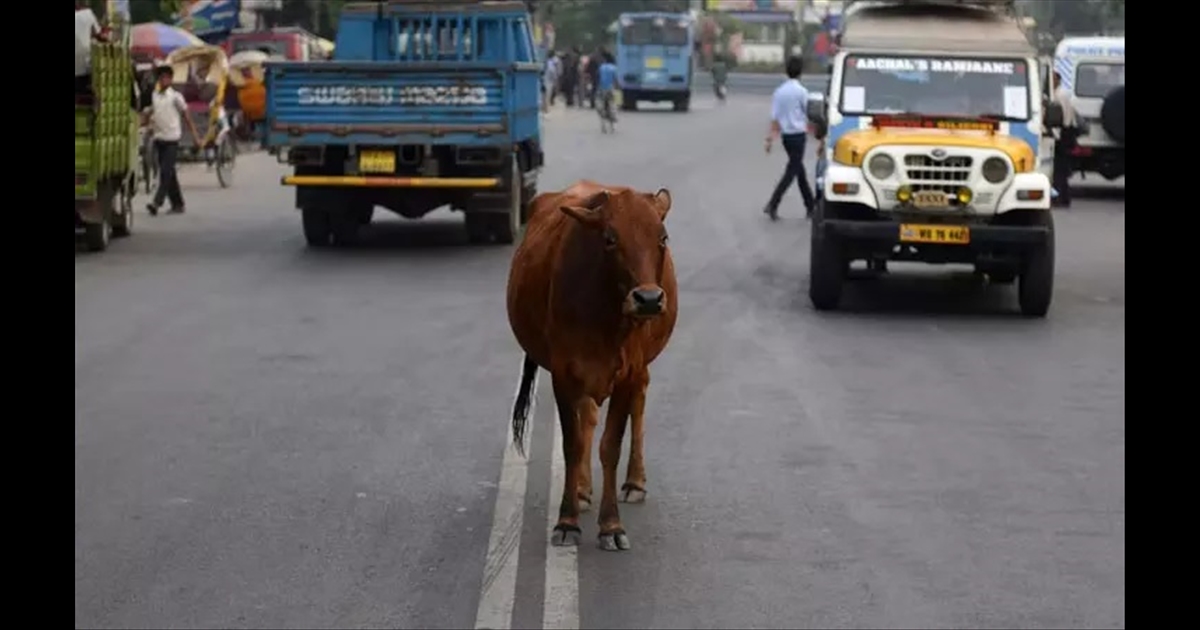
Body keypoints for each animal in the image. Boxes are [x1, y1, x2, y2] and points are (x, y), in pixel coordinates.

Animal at [504, 177, 676, 549]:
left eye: (662, 238)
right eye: (610, 239)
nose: (649, 299)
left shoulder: (627, 373)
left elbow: (610, 445)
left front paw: (611, 526)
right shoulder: (564, 374)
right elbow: (573, 444)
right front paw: (567, 521)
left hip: (639, 368)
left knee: (640, 398)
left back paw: (634, 482)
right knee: (587, 419)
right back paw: (582, 490)